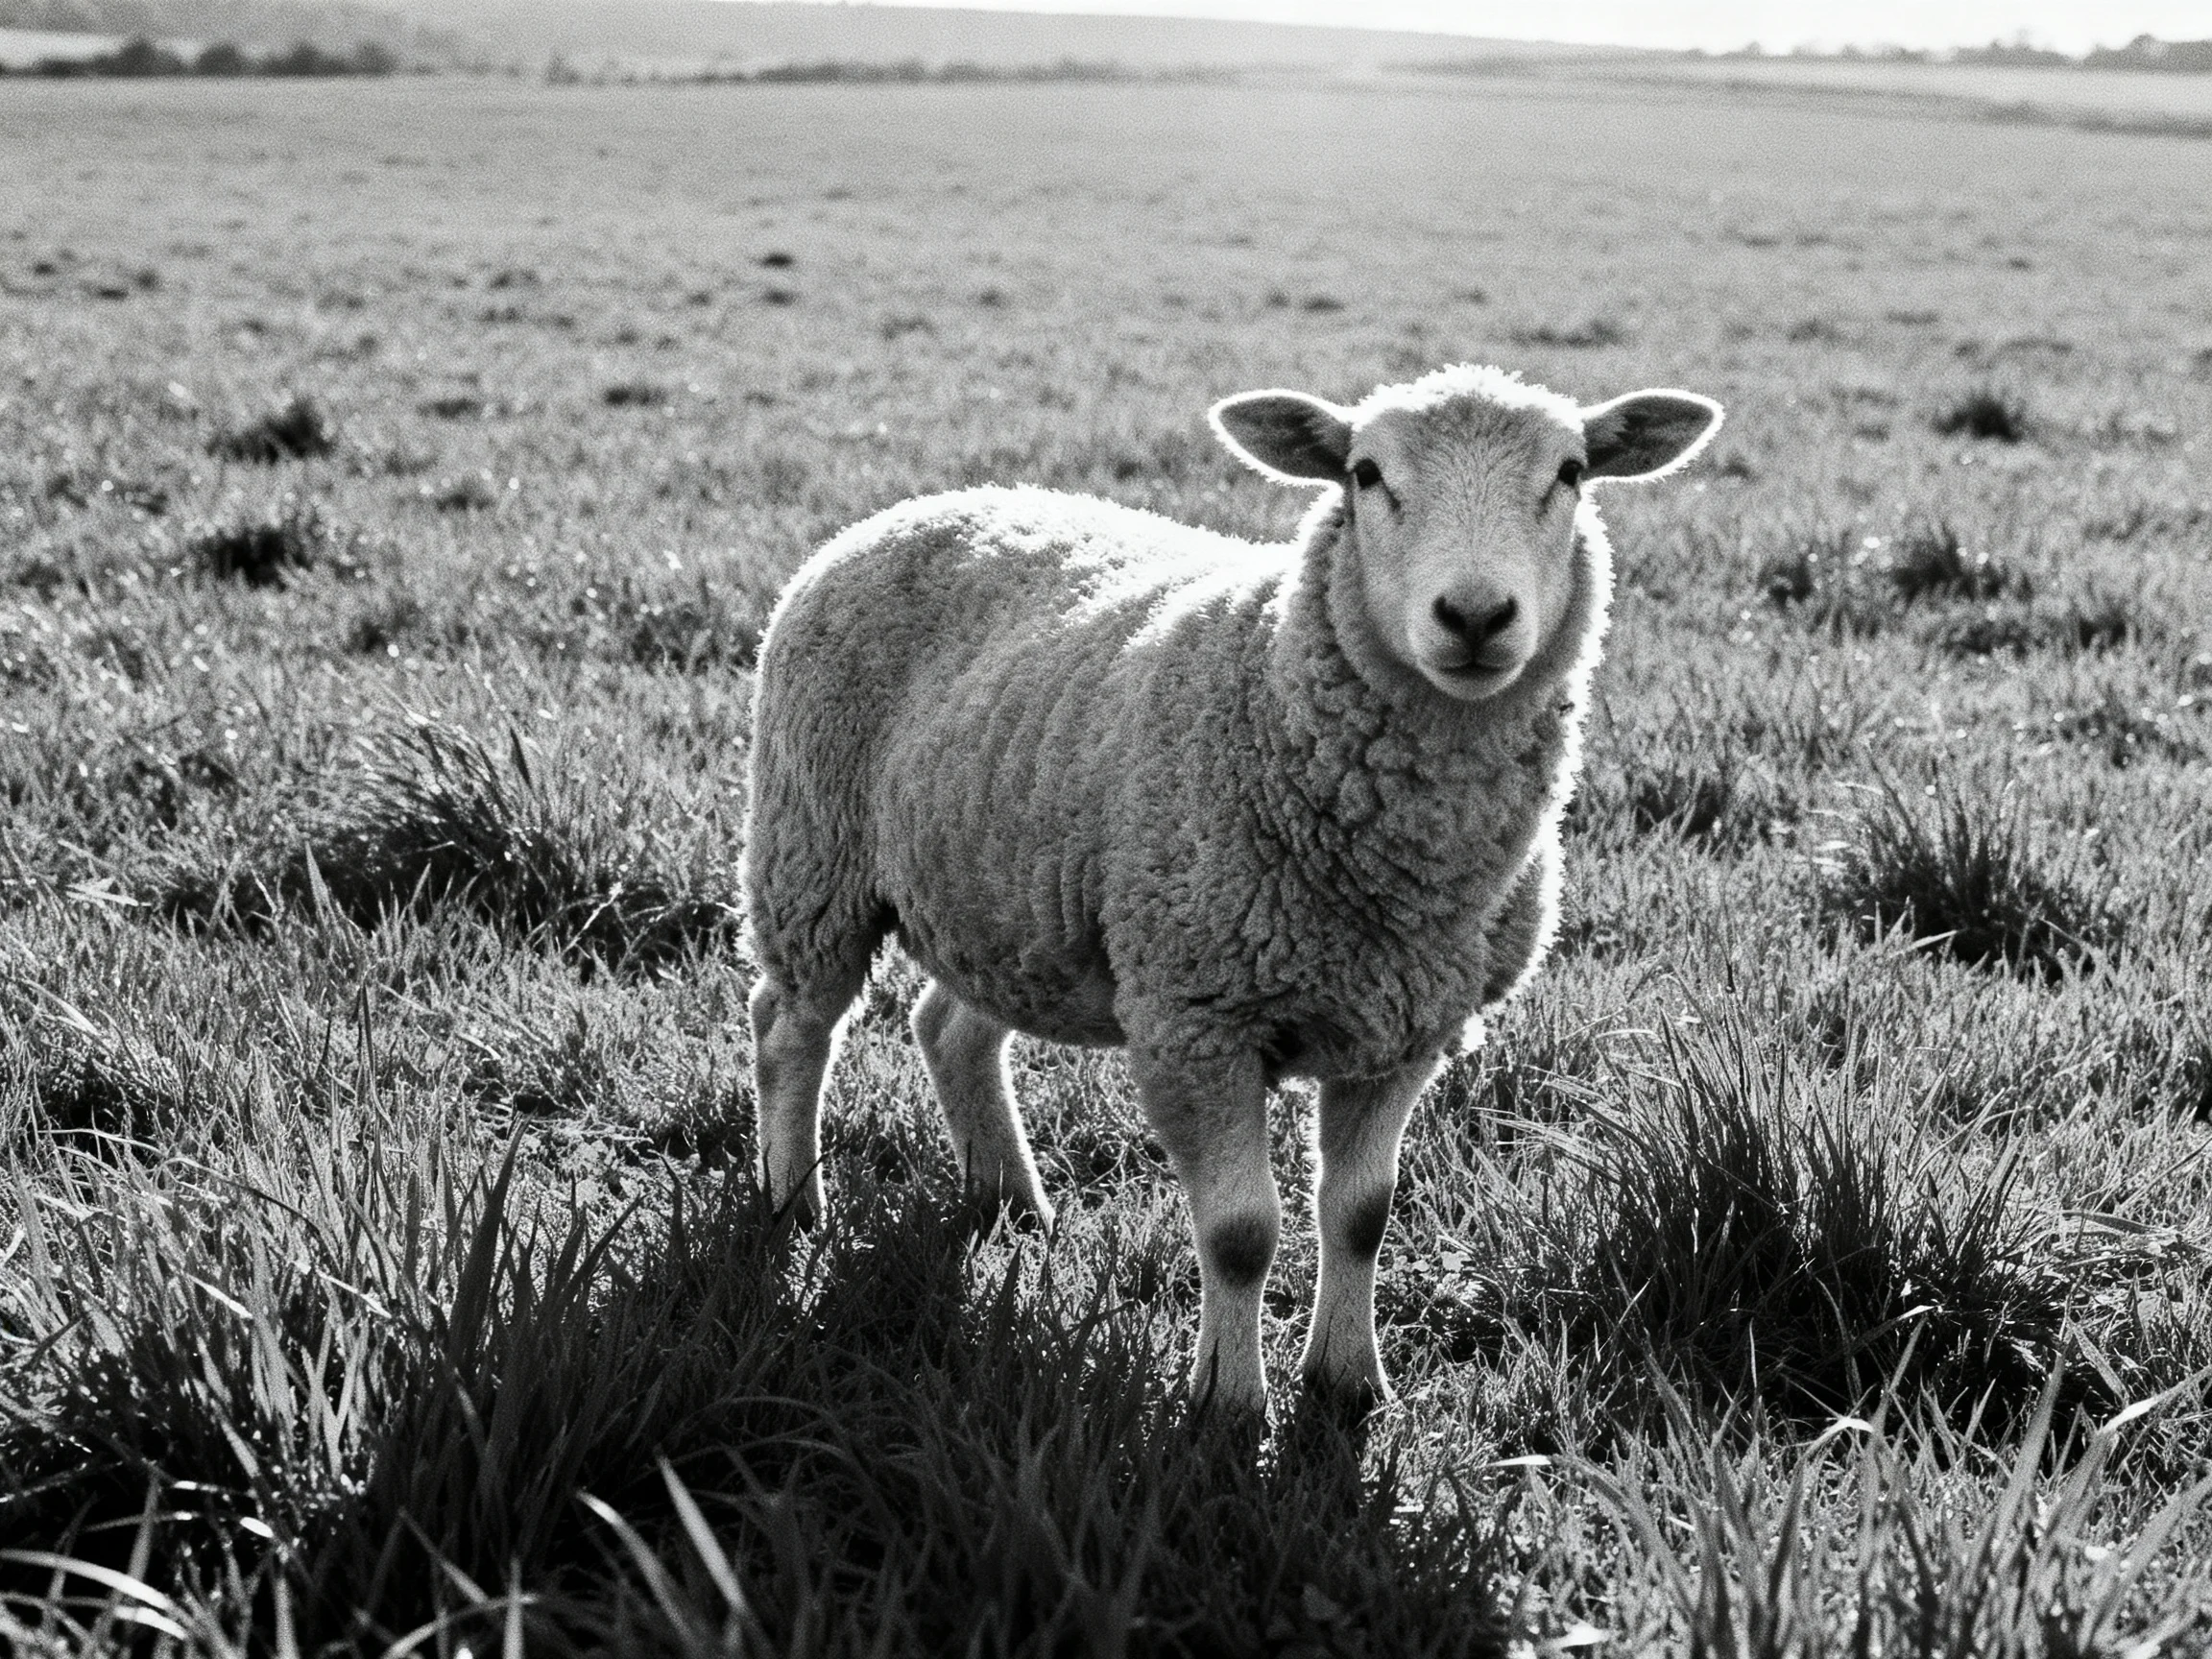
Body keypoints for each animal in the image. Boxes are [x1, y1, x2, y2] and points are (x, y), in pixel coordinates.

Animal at [742, 364, 1723, 1414]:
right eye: (1366, 474)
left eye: (1572, 472)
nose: (1473, 617)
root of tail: (932, 502)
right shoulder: (1196, 1019)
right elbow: (1241, 1233)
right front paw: (1228, 1401)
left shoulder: (1405, 1028)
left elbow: (1363, 1214)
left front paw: (1348, 1381)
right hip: (812, 855)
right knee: (790, 1028)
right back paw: (793, 1207)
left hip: (1007, 893)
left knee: (949, 1027)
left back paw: (1010, 1202)